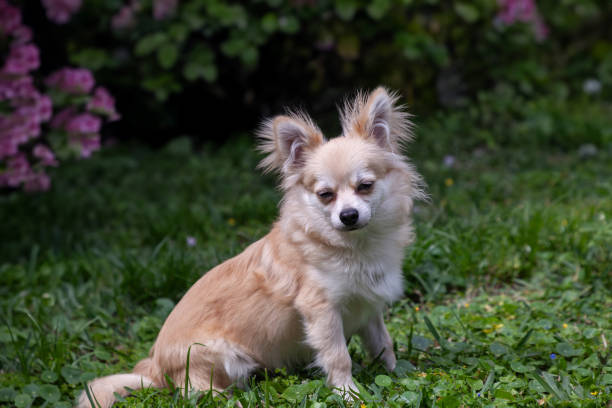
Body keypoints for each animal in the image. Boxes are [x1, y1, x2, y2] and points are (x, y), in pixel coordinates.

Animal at [77, 87, 426, 406]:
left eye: (365, 186)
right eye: (325, 195)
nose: (348, 215)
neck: (355, 245)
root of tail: (155, 368)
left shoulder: (369, 308)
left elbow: (383, 343)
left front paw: (395, 372)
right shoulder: (322, 312)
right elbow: (339, 357)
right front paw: (348, 393)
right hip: (216, 355)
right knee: (196, 391)